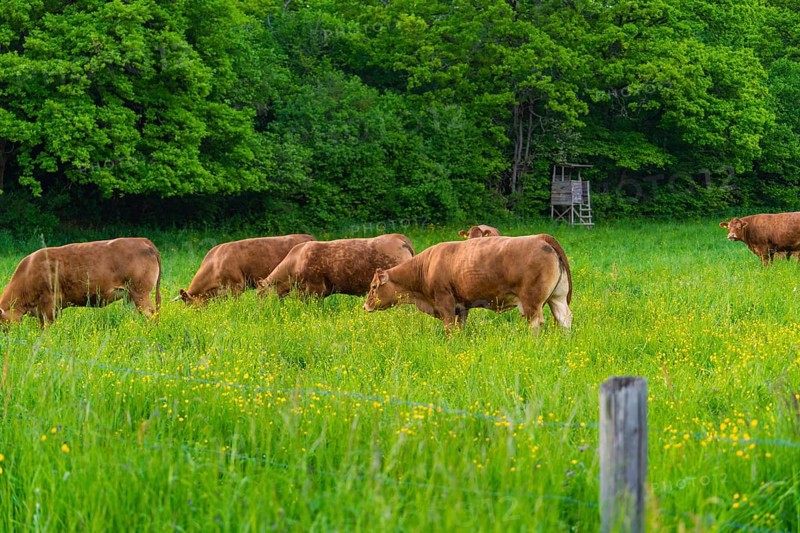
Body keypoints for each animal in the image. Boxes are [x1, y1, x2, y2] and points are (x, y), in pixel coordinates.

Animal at [363, 234, 572, 333]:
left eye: (373, 287)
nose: (365, 306)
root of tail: (539, 237)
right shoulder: (462, 306)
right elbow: (460, 327)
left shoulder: (445, 301)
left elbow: (449, 328)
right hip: (557, 298)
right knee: (564, 319)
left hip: (531, 302)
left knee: (536, 323)